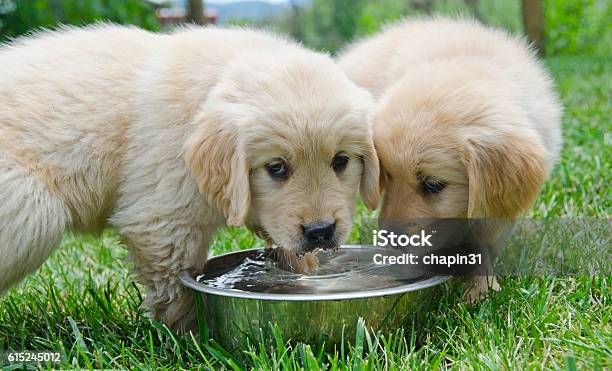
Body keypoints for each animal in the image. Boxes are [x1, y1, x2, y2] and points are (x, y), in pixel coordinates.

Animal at [0, 24, 380, 330]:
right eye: (276, 168)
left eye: (341, 161)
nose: (320, 231)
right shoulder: (162, 220)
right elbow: (176, 286)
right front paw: (190, 335)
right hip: (32, 209)